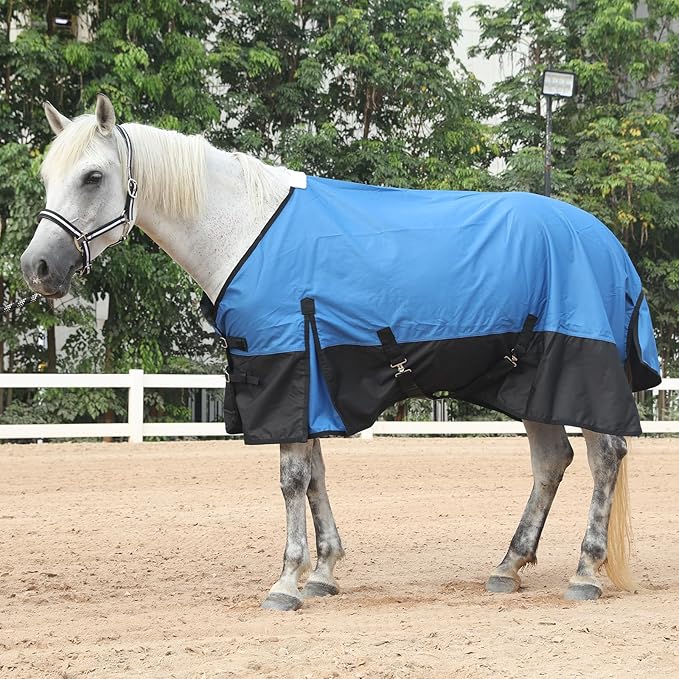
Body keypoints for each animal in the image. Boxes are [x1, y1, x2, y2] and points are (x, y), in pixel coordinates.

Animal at [20, 94, 661, 611]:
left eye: (93, 176)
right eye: (49, 175)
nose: (37, 267)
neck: (244, 230)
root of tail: (605, 241)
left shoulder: (286, 371)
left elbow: (291, 479)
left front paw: (286, 582)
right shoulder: (307, 379)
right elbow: (315, 476)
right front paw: (323, 572)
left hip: (577, 368)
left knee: (606, 456)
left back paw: (585, 572)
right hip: (531, 382)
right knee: (552, 462)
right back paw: (508, 566)